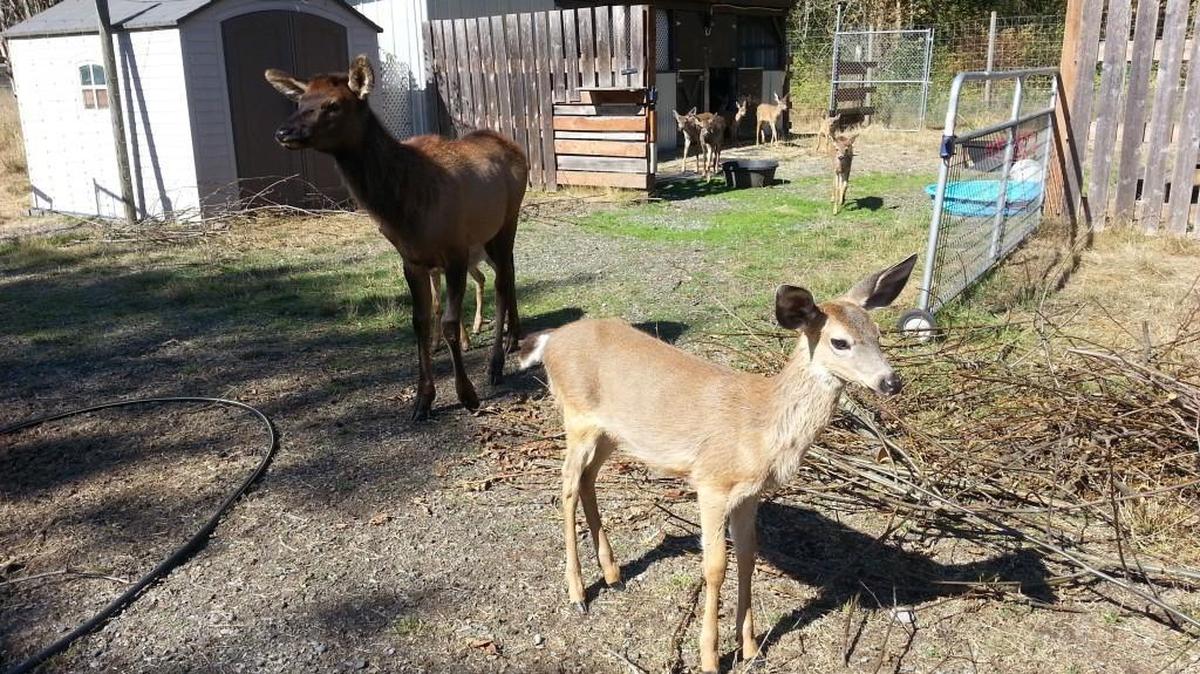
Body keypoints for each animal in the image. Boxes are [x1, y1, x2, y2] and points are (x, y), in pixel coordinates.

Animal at [266, 55, 529, 421]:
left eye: (332, 105)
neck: (401, 206)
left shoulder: (455, 250)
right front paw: (423, 400)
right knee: (509, 275)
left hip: (507, 221)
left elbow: (449, 322)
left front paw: (467, 395)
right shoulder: (411, 259)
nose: (283, 132)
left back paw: (496, 364)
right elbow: (420, 322)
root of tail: (514, 146)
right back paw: (511, 341)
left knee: (503, 284)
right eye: (300, 102)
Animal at [519, 255, 918, 674]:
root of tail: (552, 340)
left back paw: (613, 575)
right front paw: (710, 657)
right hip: (575, 416)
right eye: (839, 341)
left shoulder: (749, 494)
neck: (760, 425)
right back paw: (578, 594)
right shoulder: (710, 482)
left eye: (877, 332)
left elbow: (748, 555)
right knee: (566, 485)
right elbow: (715, 567)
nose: (891, 382)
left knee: (588, 479)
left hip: (611, 433)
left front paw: (752, 648)